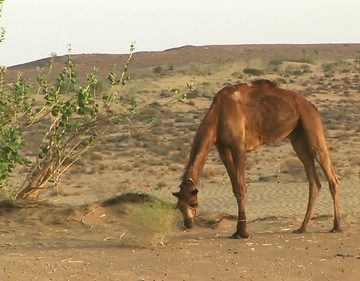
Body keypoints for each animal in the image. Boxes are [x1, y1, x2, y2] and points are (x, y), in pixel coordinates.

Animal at [173, 79, 342, 238]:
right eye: (179, 207)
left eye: (194, 202)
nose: (188, 224)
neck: (217, 115)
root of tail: (312, 107)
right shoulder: (223, 148)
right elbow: (235, 188)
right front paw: (236, 232)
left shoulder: (239, 146)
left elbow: (241, 188)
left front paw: (242, 232)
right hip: (298, 138)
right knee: (314, 181)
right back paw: (302, 228)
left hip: (312, 127)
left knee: (331, 176)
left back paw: (337, 226)